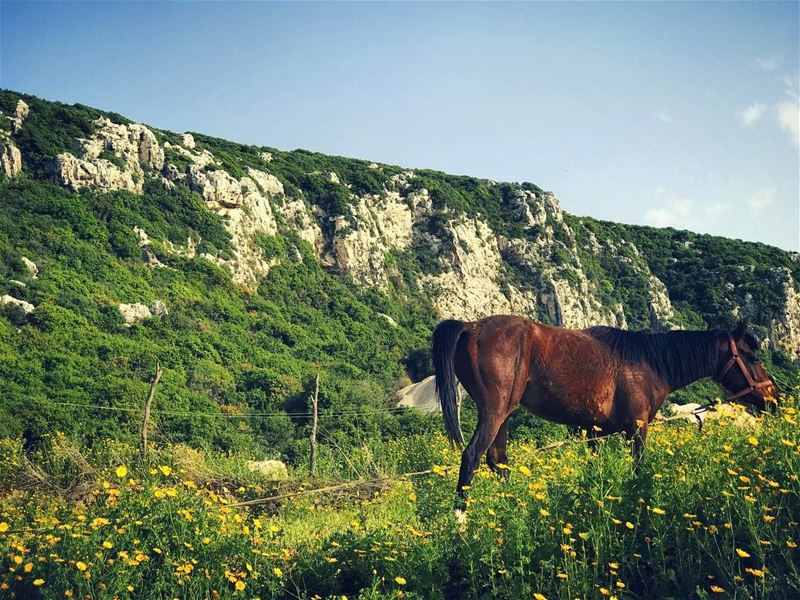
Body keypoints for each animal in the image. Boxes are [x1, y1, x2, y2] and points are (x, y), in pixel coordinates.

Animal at [434, 314, 780, 510]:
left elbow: (594, 474)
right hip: (494, 412)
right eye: (752, 356)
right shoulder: (636, 430)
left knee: (498, 461)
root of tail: (470, 327)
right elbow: (638, 470)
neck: (647, 362)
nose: (773, 399)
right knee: (472, 457)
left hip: (504, 414)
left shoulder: (593, 433)